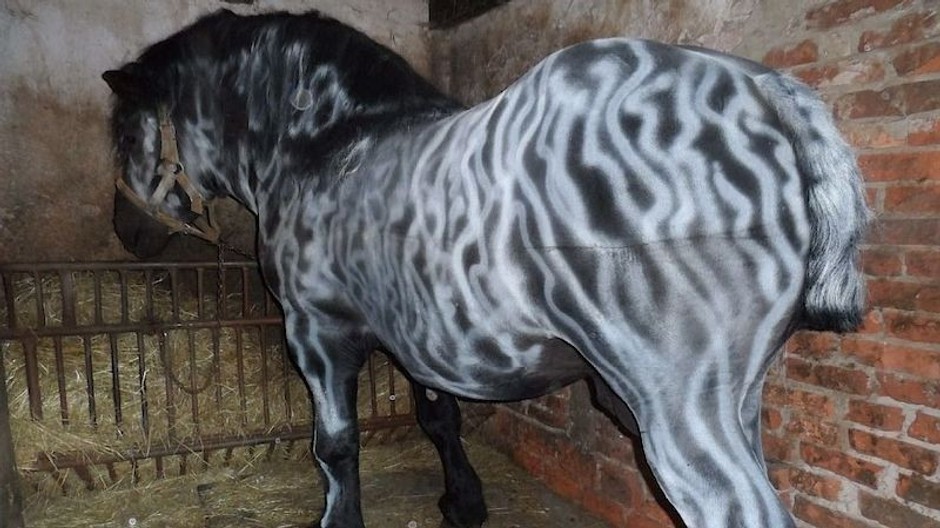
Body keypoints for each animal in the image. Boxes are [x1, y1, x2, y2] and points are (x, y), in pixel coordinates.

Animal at [103, 9, 868, 528]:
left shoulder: (316, 334)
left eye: (125, 136)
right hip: (740, 401)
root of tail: (762, 89)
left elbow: (337, 447)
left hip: (682, 411)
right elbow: (439, 418)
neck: (327, 141)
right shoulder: (417, 333)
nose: (126, 233)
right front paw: (463, 501)